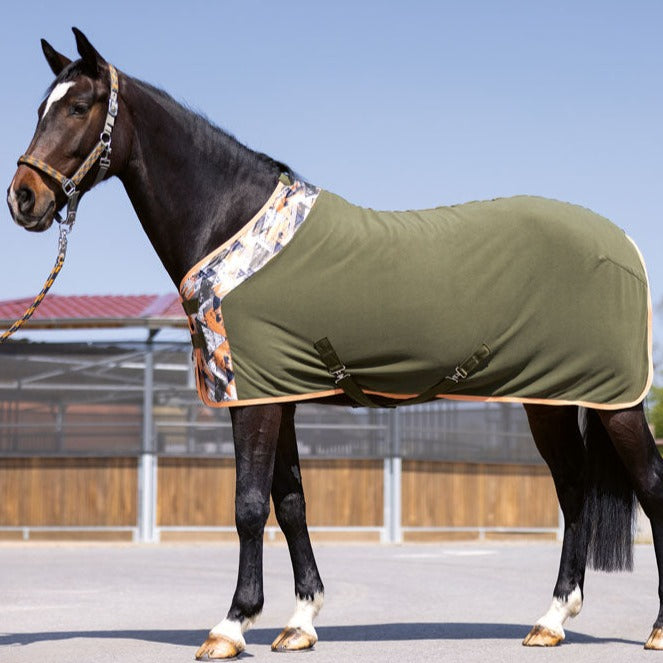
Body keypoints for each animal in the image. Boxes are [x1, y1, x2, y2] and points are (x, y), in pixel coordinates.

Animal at [6, 28, 662, 660]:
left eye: (80, 107)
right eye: (41, 108)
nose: (23, 198)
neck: (233, 223)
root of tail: (624, 244)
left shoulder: (254, 401)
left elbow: (249, 504)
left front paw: (231, 626)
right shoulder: (279, 396)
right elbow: (291, 502)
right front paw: (300, 622)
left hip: (616, 403)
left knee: (651, 488)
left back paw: (652, 628)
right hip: (550, 401)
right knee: (573, 492)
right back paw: (551, 621)